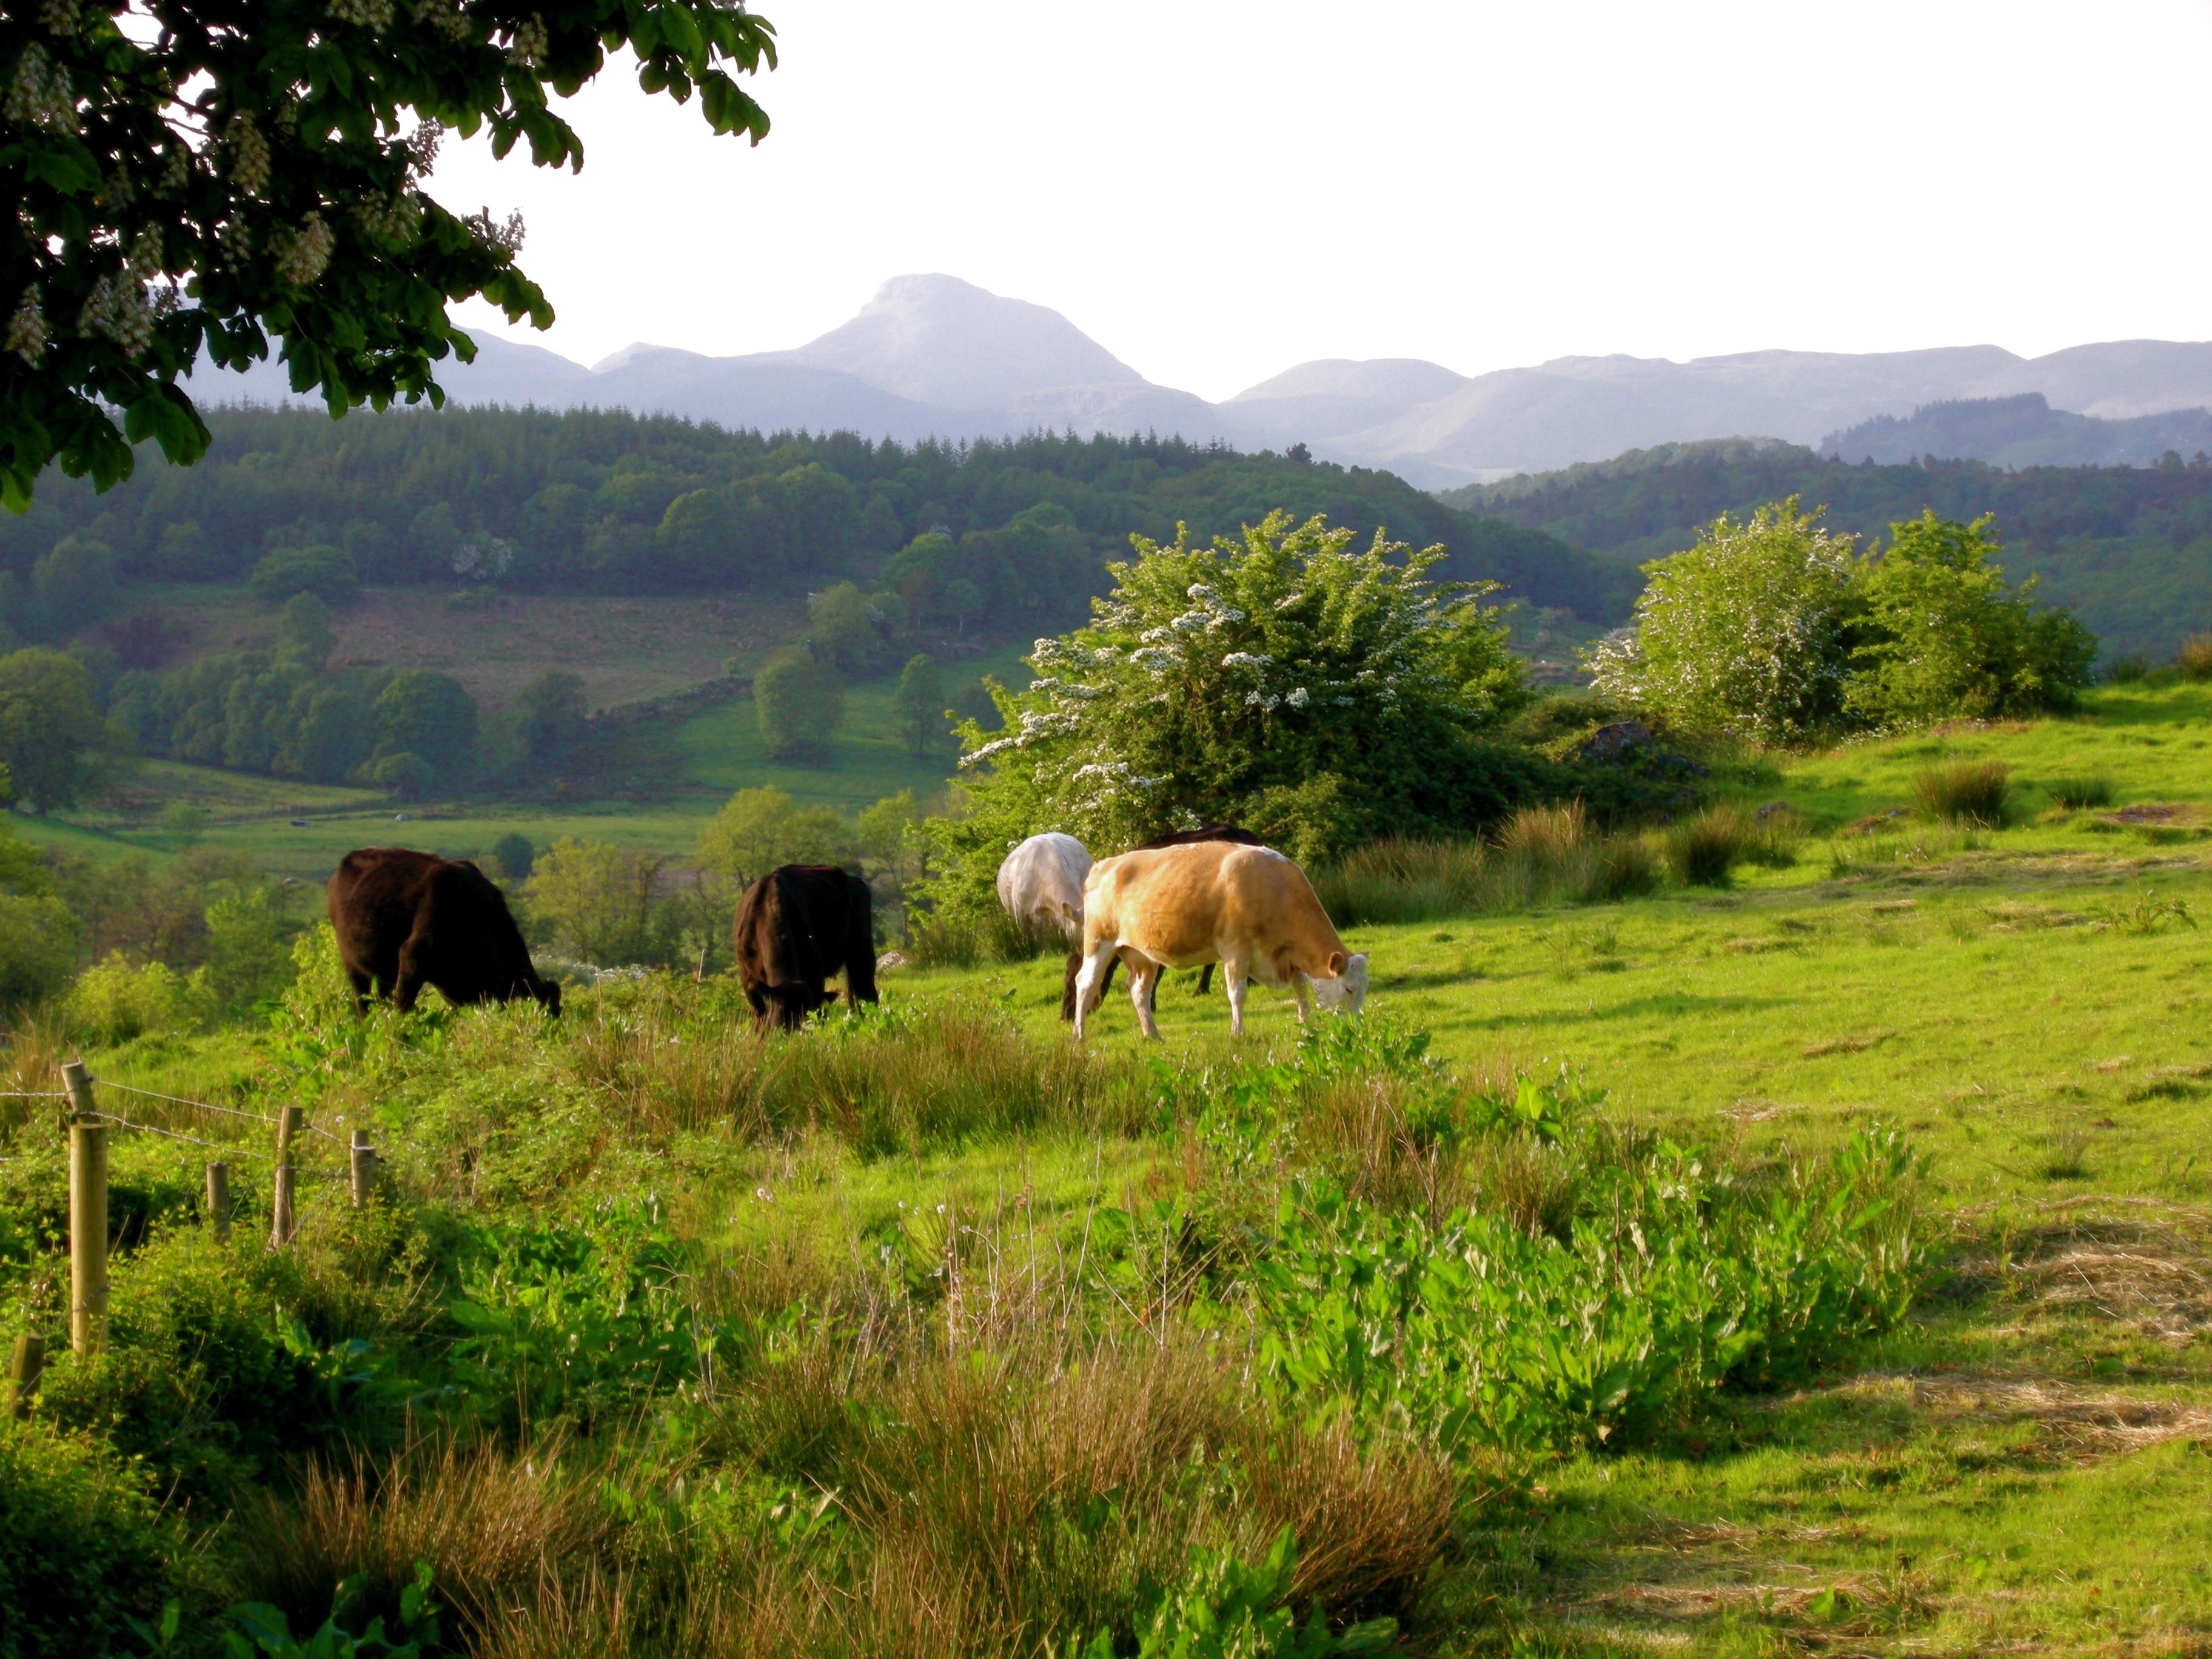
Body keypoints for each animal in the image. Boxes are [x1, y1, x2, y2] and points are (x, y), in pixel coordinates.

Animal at [332, 849, 571, 1022]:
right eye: (543, 1013)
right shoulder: (413, 959)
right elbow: (402, 1006)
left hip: (383, 973)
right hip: (352, 964)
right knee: (362, 1001)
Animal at [729, 862, 876, 1035]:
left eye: (803, 1017)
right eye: (779, 1023)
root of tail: (855, 881)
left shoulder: (815, 972)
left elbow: (820, 1013)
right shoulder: (746, 976)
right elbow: (759, 1014)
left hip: (861, 950)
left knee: (866, 993)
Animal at [1070, 845, 1362, 1039]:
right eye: (1349, 989)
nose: (1356, 1029)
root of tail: (1104, 865)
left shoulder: (1283, 954)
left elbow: (1300, 988)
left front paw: (1306, 1025)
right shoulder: (1235, 949)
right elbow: (1238, 993)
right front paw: (1237, 1034)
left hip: (1141, 953)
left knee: (1139, 990)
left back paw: (1152, 1034)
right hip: (1098, 942)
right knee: (1086, 984)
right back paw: (1079, 1036)